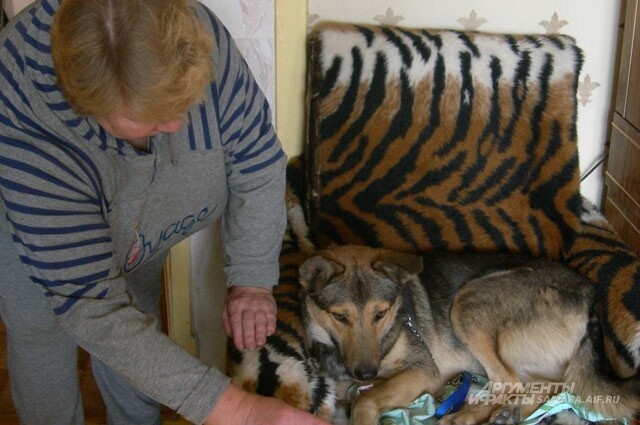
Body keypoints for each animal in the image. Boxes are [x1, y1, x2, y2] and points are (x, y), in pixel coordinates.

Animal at [302, 245, 640, 424]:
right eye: (340, 317)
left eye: (379, 313)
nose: (365, 373)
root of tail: (591, 295)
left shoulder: (423, 372)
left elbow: (366, 400)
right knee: (552, 386)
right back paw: (509, 413)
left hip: (467, 303)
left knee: (509, 383)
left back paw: (464, 416)